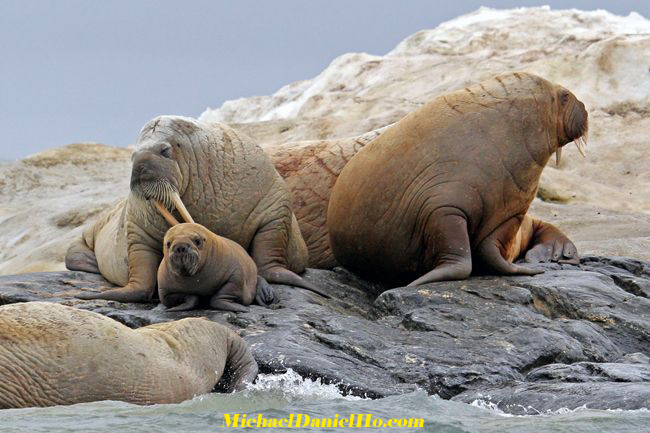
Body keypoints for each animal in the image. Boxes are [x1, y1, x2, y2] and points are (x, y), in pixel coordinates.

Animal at [67, 116, 324, 302]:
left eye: (165, 151)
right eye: (133, 156)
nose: (139, 171)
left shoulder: (275, 203)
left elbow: (269, 252)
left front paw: (267, 289)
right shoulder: (135, 226)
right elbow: (141, 268)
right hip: (95, 229)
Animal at [326, 72, 584, 286]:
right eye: (564, 97)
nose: (583, 106)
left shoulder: (509, 215)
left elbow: (491, 249)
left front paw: (524, 270)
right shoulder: (443, 205)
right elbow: (458, 254)